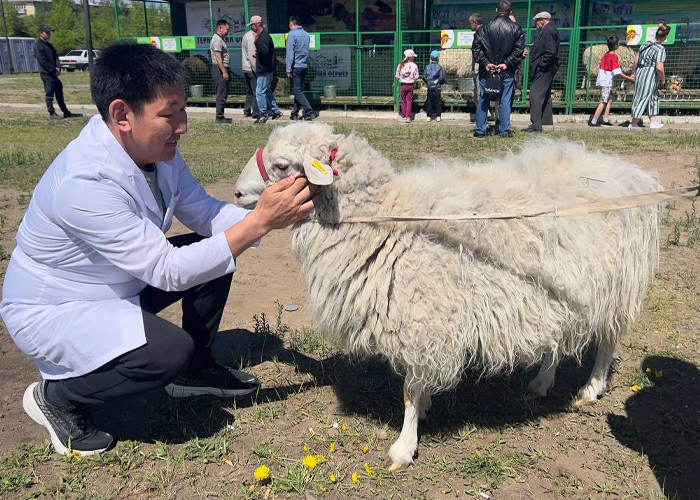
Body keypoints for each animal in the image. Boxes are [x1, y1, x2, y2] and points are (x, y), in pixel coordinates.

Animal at [234, 123, 660, 470]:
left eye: (282, 165)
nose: (236, 192)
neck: (385, 218)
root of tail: (630, 173)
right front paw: (424, 411)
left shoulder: (424, 319)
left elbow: (408, 392)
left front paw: (404, 447)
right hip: (559, 294)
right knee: (558, 336)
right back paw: (541, 381)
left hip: (616, 286)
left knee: (608, 340)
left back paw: (591, 389)